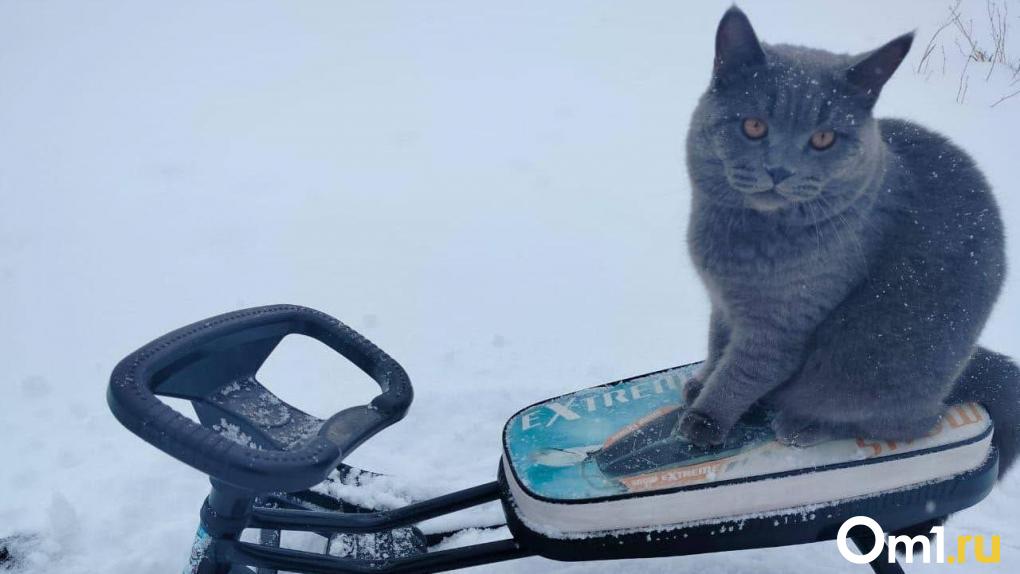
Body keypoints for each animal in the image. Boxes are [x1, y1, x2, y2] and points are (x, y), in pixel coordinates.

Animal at [677, 6, 1020, 479]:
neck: (742, 241)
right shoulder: (722, 302)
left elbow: (743, 372)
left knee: (910, 422)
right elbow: (716, 344)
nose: (780, 170)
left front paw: (706, 418)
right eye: (753, 125)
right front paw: (701, 382)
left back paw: (802, 424)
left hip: (880, 375)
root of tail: (963, 374)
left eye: (824, 138)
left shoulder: (782, 325)